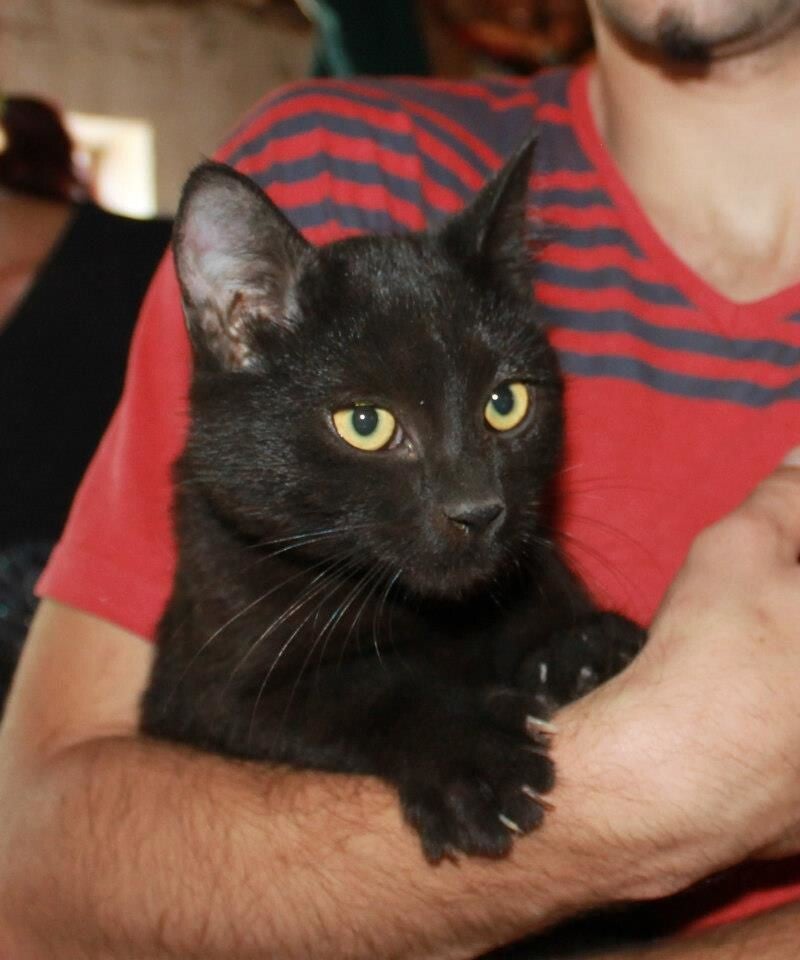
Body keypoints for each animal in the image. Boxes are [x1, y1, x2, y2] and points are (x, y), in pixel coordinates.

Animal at [140, 138, 646, 862]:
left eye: (506, 403)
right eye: (365, 422)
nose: (477, 509)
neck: (446, 617)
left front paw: (585, 649)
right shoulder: (210, 691)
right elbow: (363, 687)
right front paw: (475, 759)